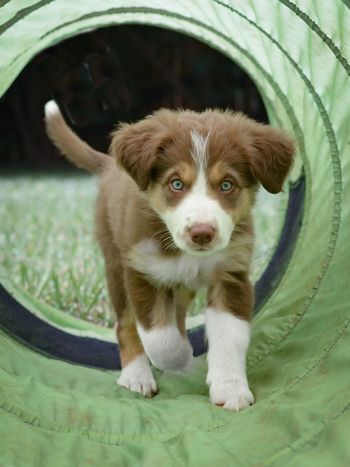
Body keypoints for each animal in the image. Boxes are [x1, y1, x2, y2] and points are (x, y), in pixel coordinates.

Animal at [45, 101, 294, 410]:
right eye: (176, 184)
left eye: (226, 185)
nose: (202, 233)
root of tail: (110, 164)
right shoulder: (141, 271)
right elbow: (160, 337)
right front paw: (180, 358)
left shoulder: (231, 275)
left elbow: (230, 336)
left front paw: (231, 389)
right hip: (114, 263)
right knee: (125, 324)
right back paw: (136, 376)